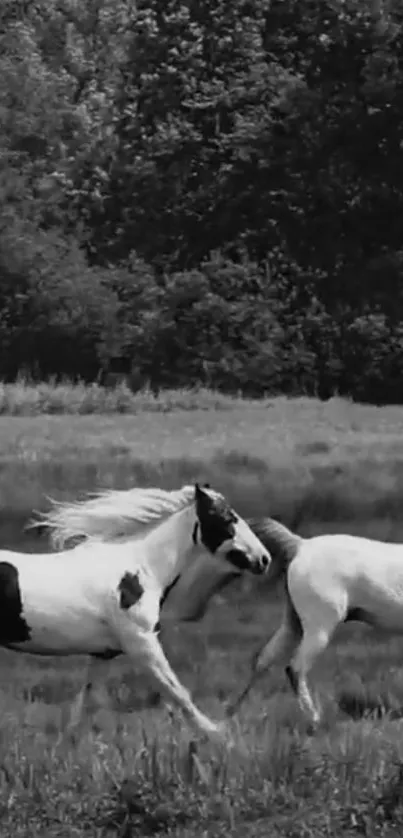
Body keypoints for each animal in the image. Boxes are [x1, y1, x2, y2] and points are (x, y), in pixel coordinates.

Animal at [0, 482, 272, 740]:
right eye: (226, 518)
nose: (264, 559)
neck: (140, 570)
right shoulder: (142, 644)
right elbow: (179, 693)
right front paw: (219, 736)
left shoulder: (103, 654)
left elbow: (84, 705)